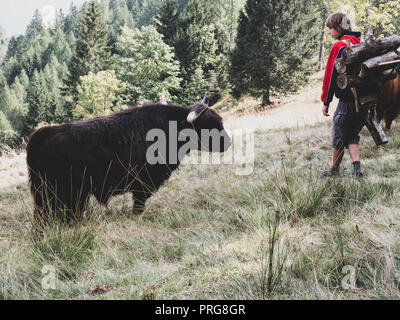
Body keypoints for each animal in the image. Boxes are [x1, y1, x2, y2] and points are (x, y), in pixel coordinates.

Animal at [26, 104, 231, 221]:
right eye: (208, 125)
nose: (228, 142)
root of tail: (38, 136)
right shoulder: (144, 182)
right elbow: (139, 202)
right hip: (56, 194)